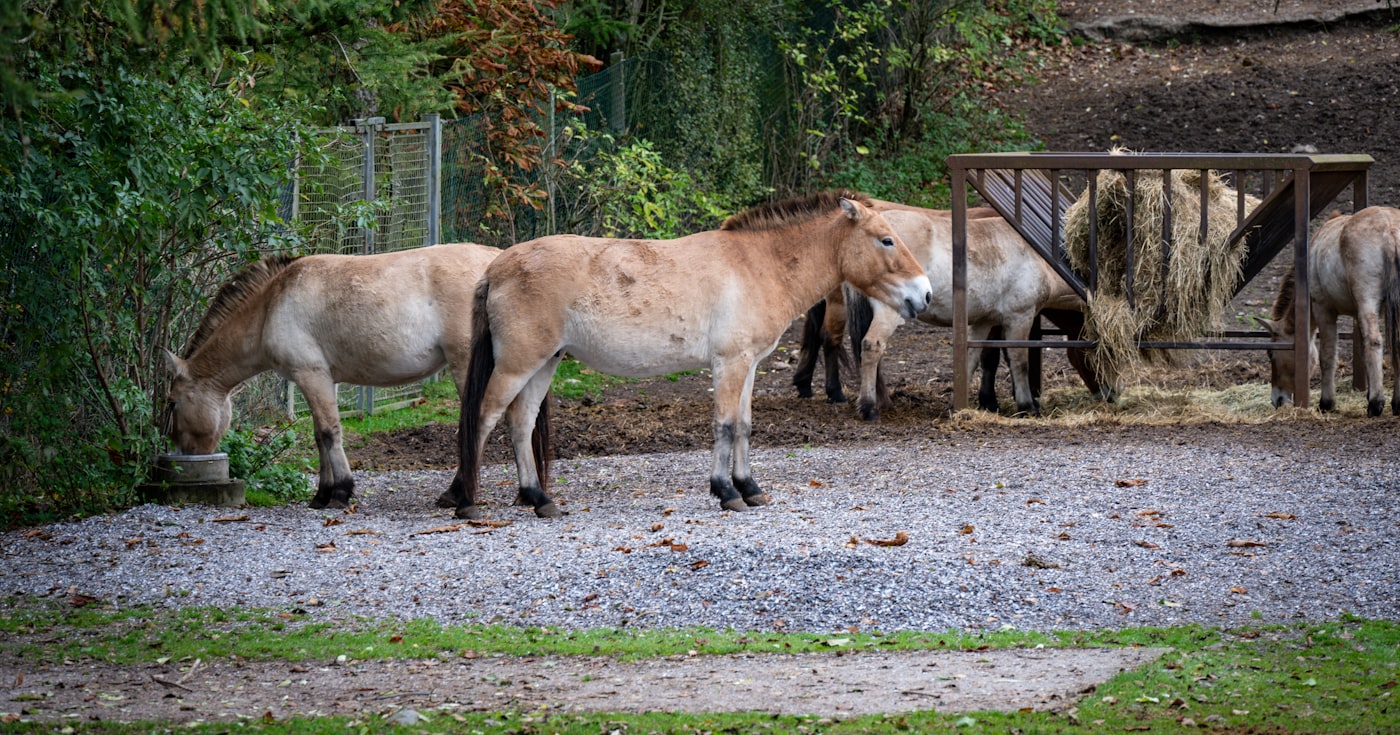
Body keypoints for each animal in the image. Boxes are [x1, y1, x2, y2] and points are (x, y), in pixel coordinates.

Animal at [162, 242, 500, 509]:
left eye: (172, 403)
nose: (183, 454)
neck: (270, 306)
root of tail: (496, 262)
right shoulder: (323, 381)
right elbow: (319, 434)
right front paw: (322, 494)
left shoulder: (311, 376)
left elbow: (328, 432)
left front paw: (340, 492)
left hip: (465, 366)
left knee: (477, 422)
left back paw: (455, 493)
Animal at [449, 191, 932, 520]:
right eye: (886, 241)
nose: (924, 294)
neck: (760, 264)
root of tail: (496, 267)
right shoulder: (729, 363)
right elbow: (725, 425)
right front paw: (727, 492)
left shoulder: (749, 365)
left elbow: (744, 426)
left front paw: (750, 488)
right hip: (519, 363)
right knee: (485, 417)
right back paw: (466, 501)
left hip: (544, 363)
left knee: (520, 423)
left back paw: (538, 499)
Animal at [1262, 206, 1400, 416]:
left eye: (1271, 353)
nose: (1277, 399)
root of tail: (1389, 228)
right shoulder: (1358, 314)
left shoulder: (1323, 309)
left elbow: (1327, 355)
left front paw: (1326, 403)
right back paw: (1397, 402)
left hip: (1367, 300)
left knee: (1374, 341)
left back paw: (1375, 404)